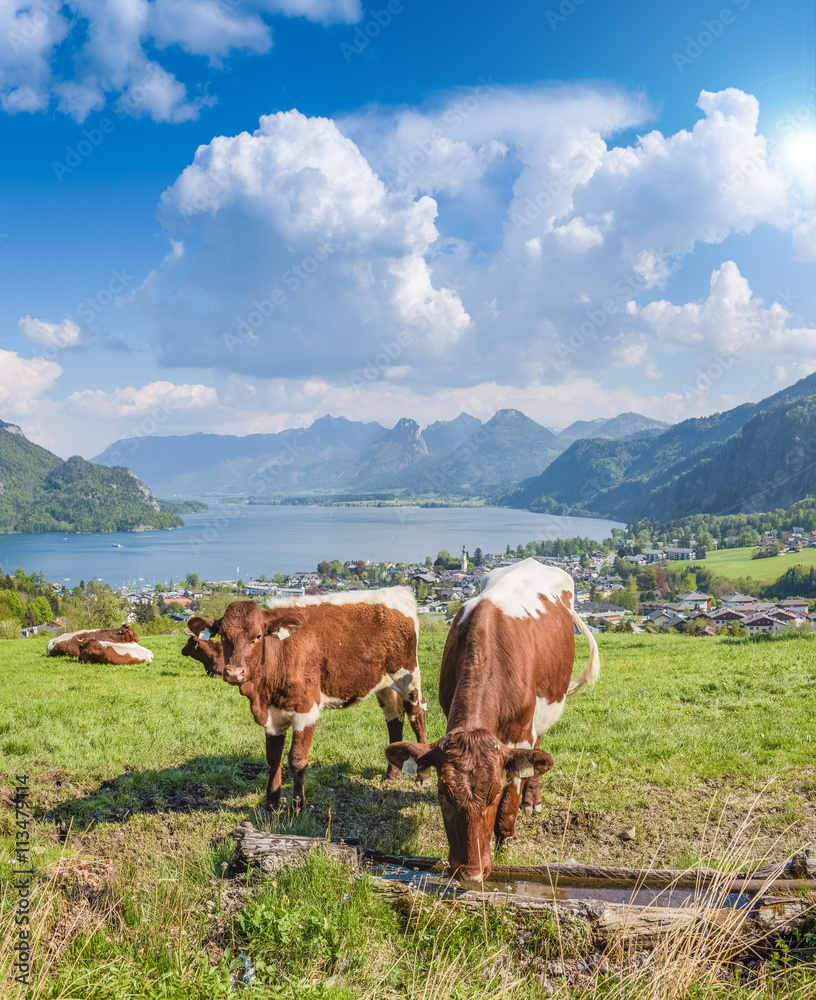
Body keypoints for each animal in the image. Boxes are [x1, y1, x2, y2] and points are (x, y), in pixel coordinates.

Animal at [186, 584, 428, 812]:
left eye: (258, 636)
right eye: (224, 636)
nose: (234, 673)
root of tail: (398, 591)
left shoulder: (306, 710)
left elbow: (297, 760)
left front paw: (297, 806)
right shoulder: (273, 716)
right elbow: (273, 759)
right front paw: (271, 803)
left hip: (409, 676)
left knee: (417, 715)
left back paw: (423, 777)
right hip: (384, 684)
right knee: (394, 718)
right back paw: (390, 776)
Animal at [382, 564, 600, 884]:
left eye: (495, 793)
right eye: (443, 794)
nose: (470, 873)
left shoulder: (519, 737)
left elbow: (509, 805)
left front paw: (505, 849)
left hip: (543, 710)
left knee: (537, 749)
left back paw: (532, 799)